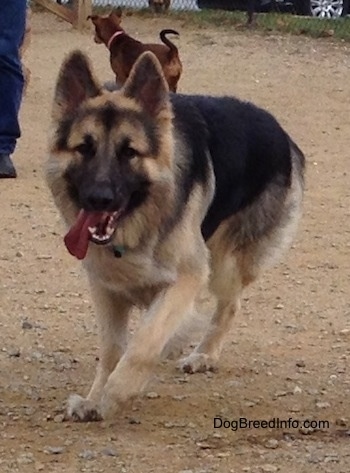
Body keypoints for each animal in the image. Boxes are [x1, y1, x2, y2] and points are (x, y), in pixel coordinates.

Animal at [45, 50, 304, 420]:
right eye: (84, 148)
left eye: (129, 152)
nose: (99, 199)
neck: (139, 223)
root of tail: (277, 129)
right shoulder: (105, 288)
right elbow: (112, 348)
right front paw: (94, 399)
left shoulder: (186, 277)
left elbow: (144, 341)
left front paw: (120, 389)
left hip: (223, 264)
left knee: (230, 305)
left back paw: (204, 354)